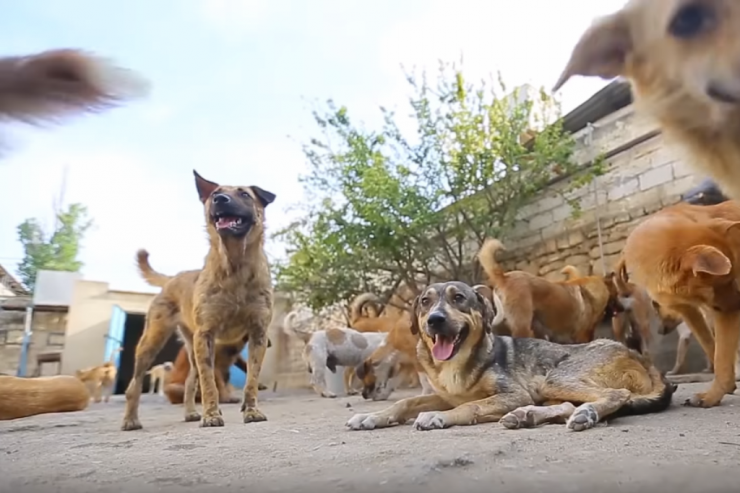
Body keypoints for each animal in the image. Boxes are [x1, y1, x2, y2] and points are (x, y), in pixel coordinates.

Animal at [121, 170, 274, 430]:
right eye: (215, 193)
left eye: (244, 194)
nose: (220, 199)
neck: (235, 267)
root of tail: (172, 278)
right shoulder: (208, 336)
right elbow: (210, 383)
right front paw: (211, 415)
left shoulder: (257, 334)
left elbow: (251, 380)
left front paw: (251, 411)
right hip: (152, 343)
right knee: (134, 385)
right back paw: (130, 419)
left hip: (192, 350)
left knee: (191, 382)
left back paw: (191, 413)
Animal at [346, 280, 676, 430]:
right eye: (425, 302)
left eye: (458, 298)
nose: (434, 320)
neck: (458, 362)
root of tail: (642, 360)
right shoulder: (444, 394)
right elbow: (405, 401)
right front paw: (371, 417)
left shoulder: (513, 393)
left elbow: (471, 406)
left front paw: (438, 417)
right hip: (550, 388)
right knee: (567, 405)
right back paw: (526, 416)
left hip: (555, 377)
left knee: (615, 395)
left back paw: (584, 414)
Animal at [616, 200, 740, 408]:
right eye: (726, 281)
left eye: (731, 279)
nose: (738, 304)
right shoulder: (690, 310)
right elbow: (713, 348)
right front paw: (719, 391)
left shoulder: (721, 312)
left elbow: (721, 354)